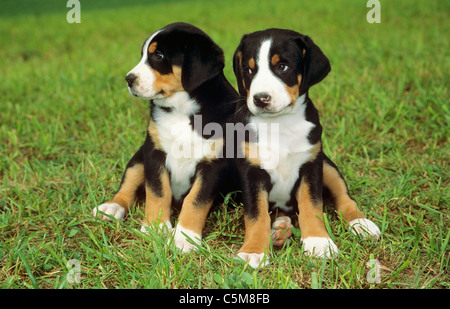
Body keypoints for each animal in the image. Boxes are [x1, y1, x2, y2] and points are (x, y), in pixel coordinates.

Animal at [93, 22, 241, 251]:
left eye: (159, 55)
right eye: (143, 55)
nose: (128, 79)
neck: (181, 109)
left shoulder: (213, 163)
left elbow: (195, 200)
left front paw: (185, 238)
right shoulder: (154, 152)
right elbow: (157, 192)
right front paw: (155, 228)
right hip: (139, 155)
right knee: (129, 181)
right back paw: (111, 207)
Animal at [234, 27, 382, 266]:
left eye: (282, 67)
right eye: (249, 70)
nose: (260, 99)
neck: (280, 123)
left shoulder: (310, 165)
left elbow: (312, 205)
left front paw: (318, 242)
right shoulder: (251, 171)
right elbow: (256, 214)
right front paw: (254, 250)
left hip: (326, 165)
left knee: (344, 197)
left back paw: (361, 224)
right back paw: (280, 229)